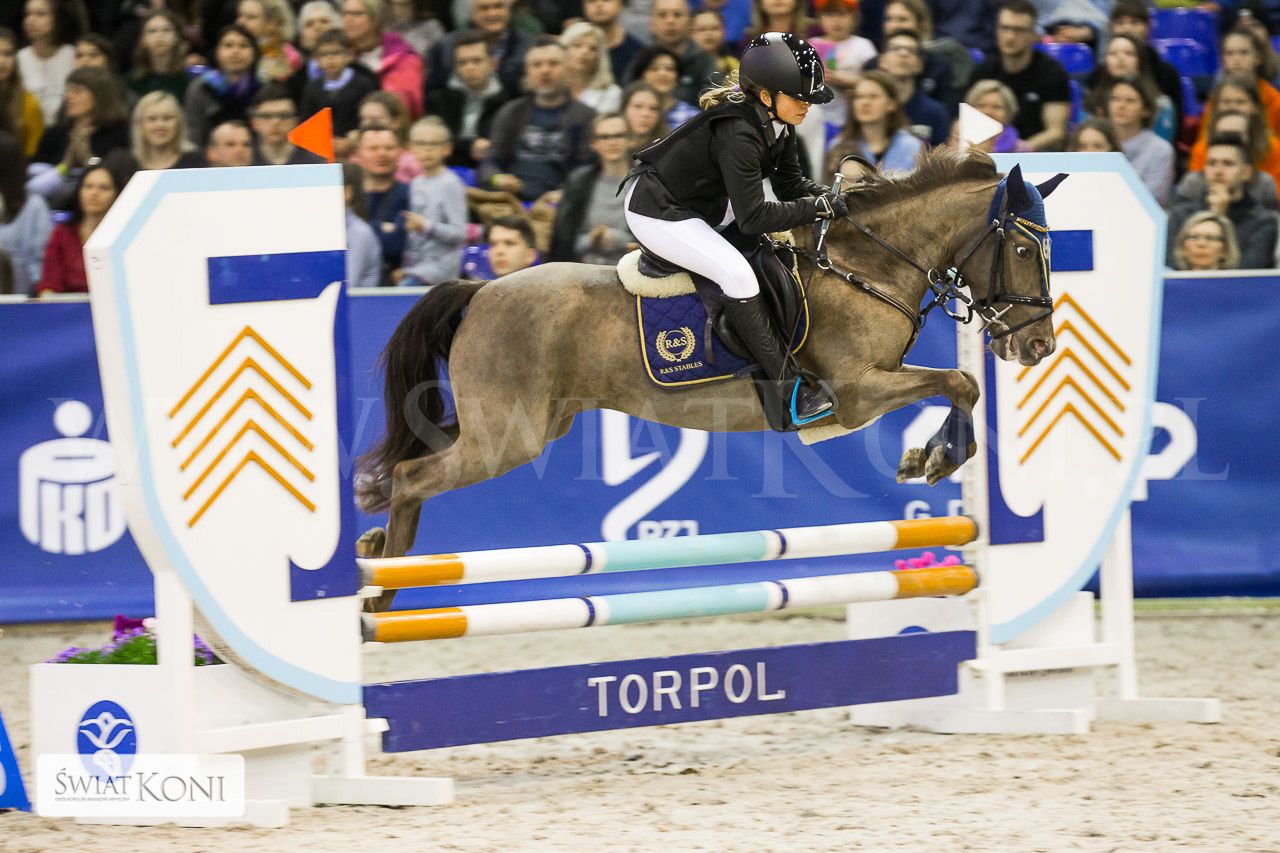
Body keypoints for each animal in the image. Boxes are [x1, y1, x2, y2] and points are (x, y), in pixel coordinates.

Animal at [355, 151, 1066, 608]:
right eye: (1023, 250)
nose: (1037, 345)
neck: (868, 264)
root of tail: (479, 290)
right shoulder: (858, 391)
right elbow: (959, 381)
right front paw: (936, 458)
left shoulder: (869, 388)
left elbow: (957, 383)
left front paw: (924, 457)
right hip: (510, 436)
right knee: (416, 473)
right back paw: (383, 581)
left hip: (528, 422)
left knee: (418, 456)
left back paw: (378, 543)